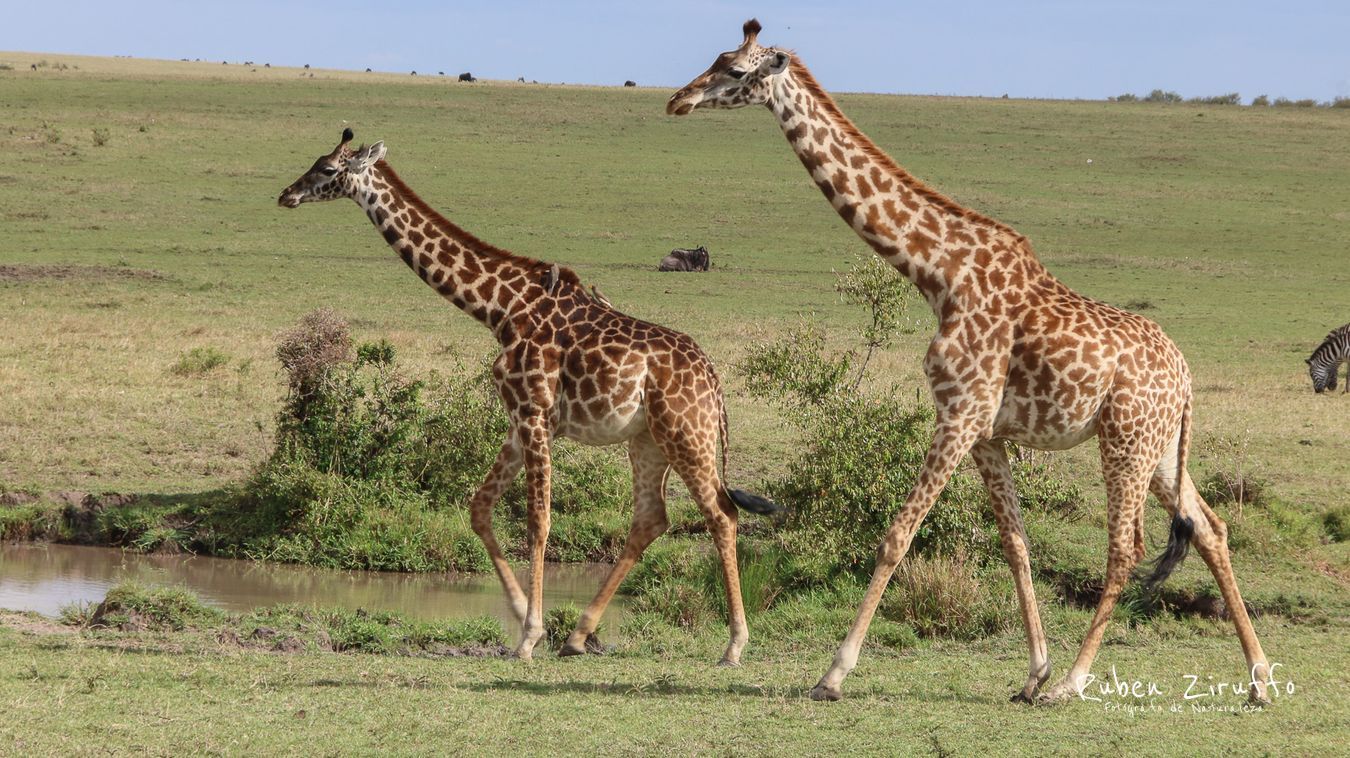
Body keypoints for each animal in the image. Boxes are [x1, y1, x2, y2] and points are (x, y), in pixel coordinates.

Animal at [279, 129, 777, 662]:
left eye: (329, 169)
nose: (287, 193)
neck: (500, 309)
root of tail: (714, 383)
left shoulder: (534, 412)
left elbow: (538, 519)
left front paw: (529, 636)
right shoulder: (522, 418)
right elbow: (479, 507)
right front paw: (520, 615)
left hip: (687, 434)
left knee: (721, 515)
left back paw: (734, 645)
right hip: (647, 440)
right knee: (650, 520)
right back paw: (579, 635)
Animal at [669, 19, 1269, 702]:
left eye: (735, 70)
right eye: (717, 58)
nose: (679, 100)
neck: (939, 274)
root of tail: (1187, 375)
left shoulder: (958, 414)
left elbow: (897, 537)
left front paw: (834, 673)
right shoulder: (986, 431)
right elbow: (1015, 543)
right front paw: (1032, 672)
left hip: (1126, 440)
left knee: (1127, 546)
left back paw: (1076, 682)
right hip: (1163, 447)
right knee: (1211, 529)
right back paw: (1258, 679)